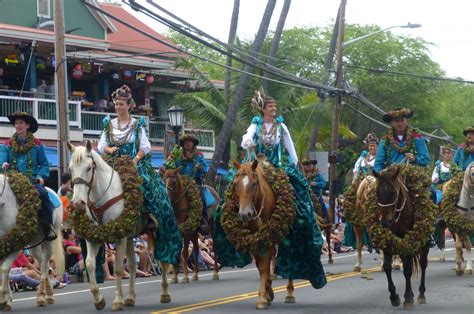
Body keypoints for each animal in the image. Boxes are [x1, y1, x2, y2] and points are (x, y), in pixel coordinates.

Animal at [0, 175, 63, 310]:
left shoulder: (15, 245)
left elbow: (4, 268)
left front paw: (3, 300)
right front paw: (7, 299)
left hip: (49, 241)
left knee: (44, 266)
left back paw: (42, 297)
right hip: (35, 244)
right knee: (44, 264)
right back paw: (48, 294)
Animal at [65, 141, 171, 310]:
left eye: (88, 168)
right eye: (70, 169)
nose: (78, 203)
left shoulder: (119, 237)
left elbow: (119, 268)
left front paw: (117, 301)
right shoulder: (93, 236)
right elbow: (90, 263)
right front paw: (99, 299)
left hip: (156, 232)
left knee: (161, 260)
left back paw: (165, 293)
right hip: (130, 237)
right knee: (133, 265)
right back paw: (130, 297)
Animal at [231, 158, 296, 310]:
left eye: (254, 184)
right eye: (235, 184)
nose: (244, 214)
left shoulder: (266, 235)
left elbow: (264, 266)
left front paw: (262, 298)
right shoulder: (255, 238)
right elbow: (260, 266)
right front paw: (267, 293)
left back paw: (290, 293)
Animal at [372, 166, 432, 310]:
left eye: (394, 193)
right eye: (377, 192)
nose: (385, 222)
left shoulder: (408, 240)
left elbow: (408, 269)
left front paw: (408, 297)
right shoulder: (387, 241)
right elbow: (387, 267)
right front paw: (394, 297)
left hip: (423, 244)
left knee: (423, 264)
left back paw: (421, 294)